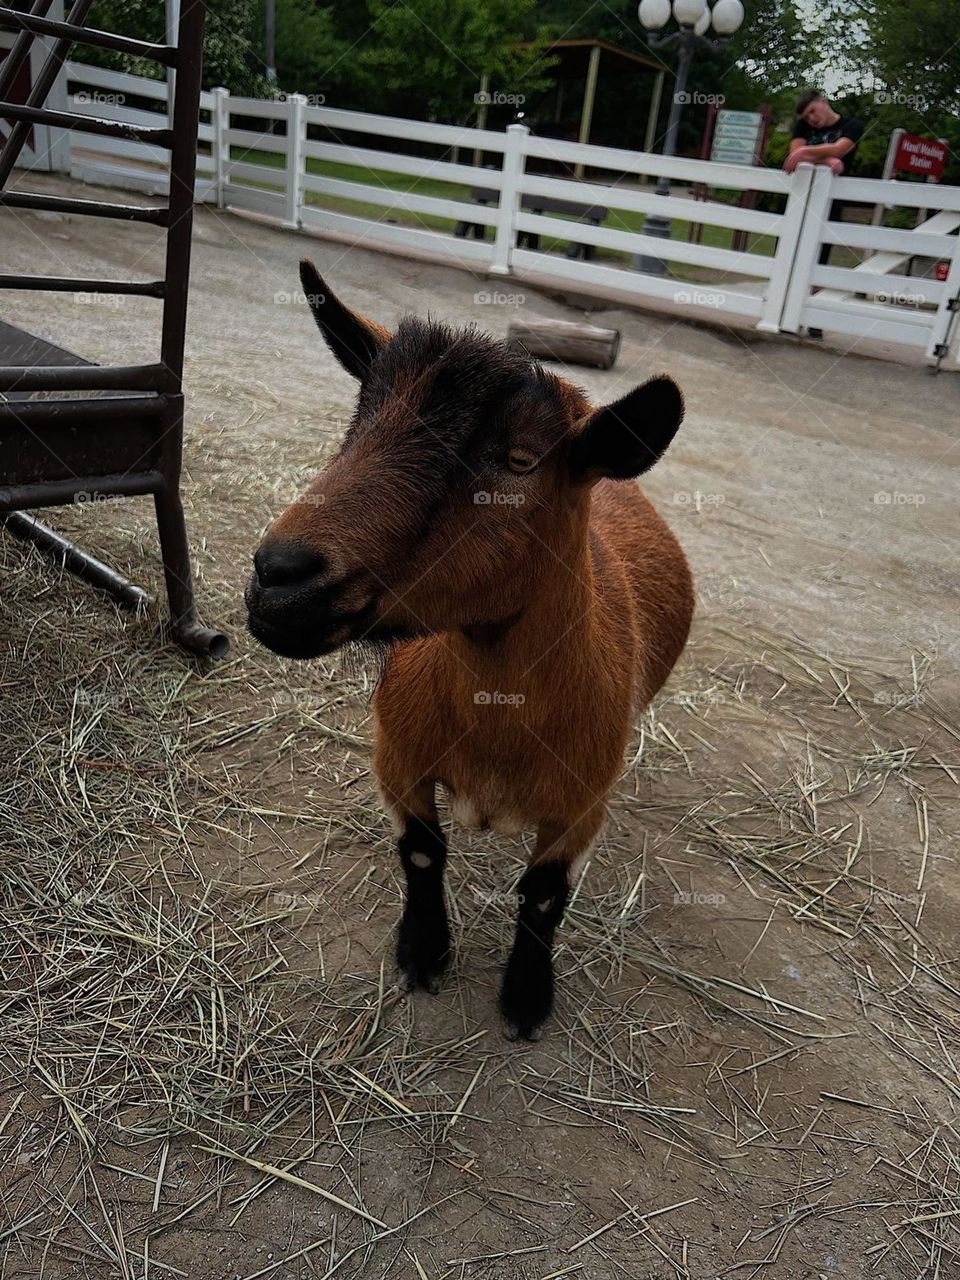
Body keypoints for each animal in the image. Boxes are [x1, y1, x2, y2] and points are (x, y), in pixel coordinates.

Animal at [246, 262, 694, 1040]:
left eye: (519, 460)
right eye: (357, 424)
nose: (278, 576)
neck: (497, 717)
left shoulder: (582, 807)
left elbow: (543, 896)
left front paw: (525, 999)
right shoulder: (396, 758)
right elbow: (424, 852)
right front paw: (424, 954)